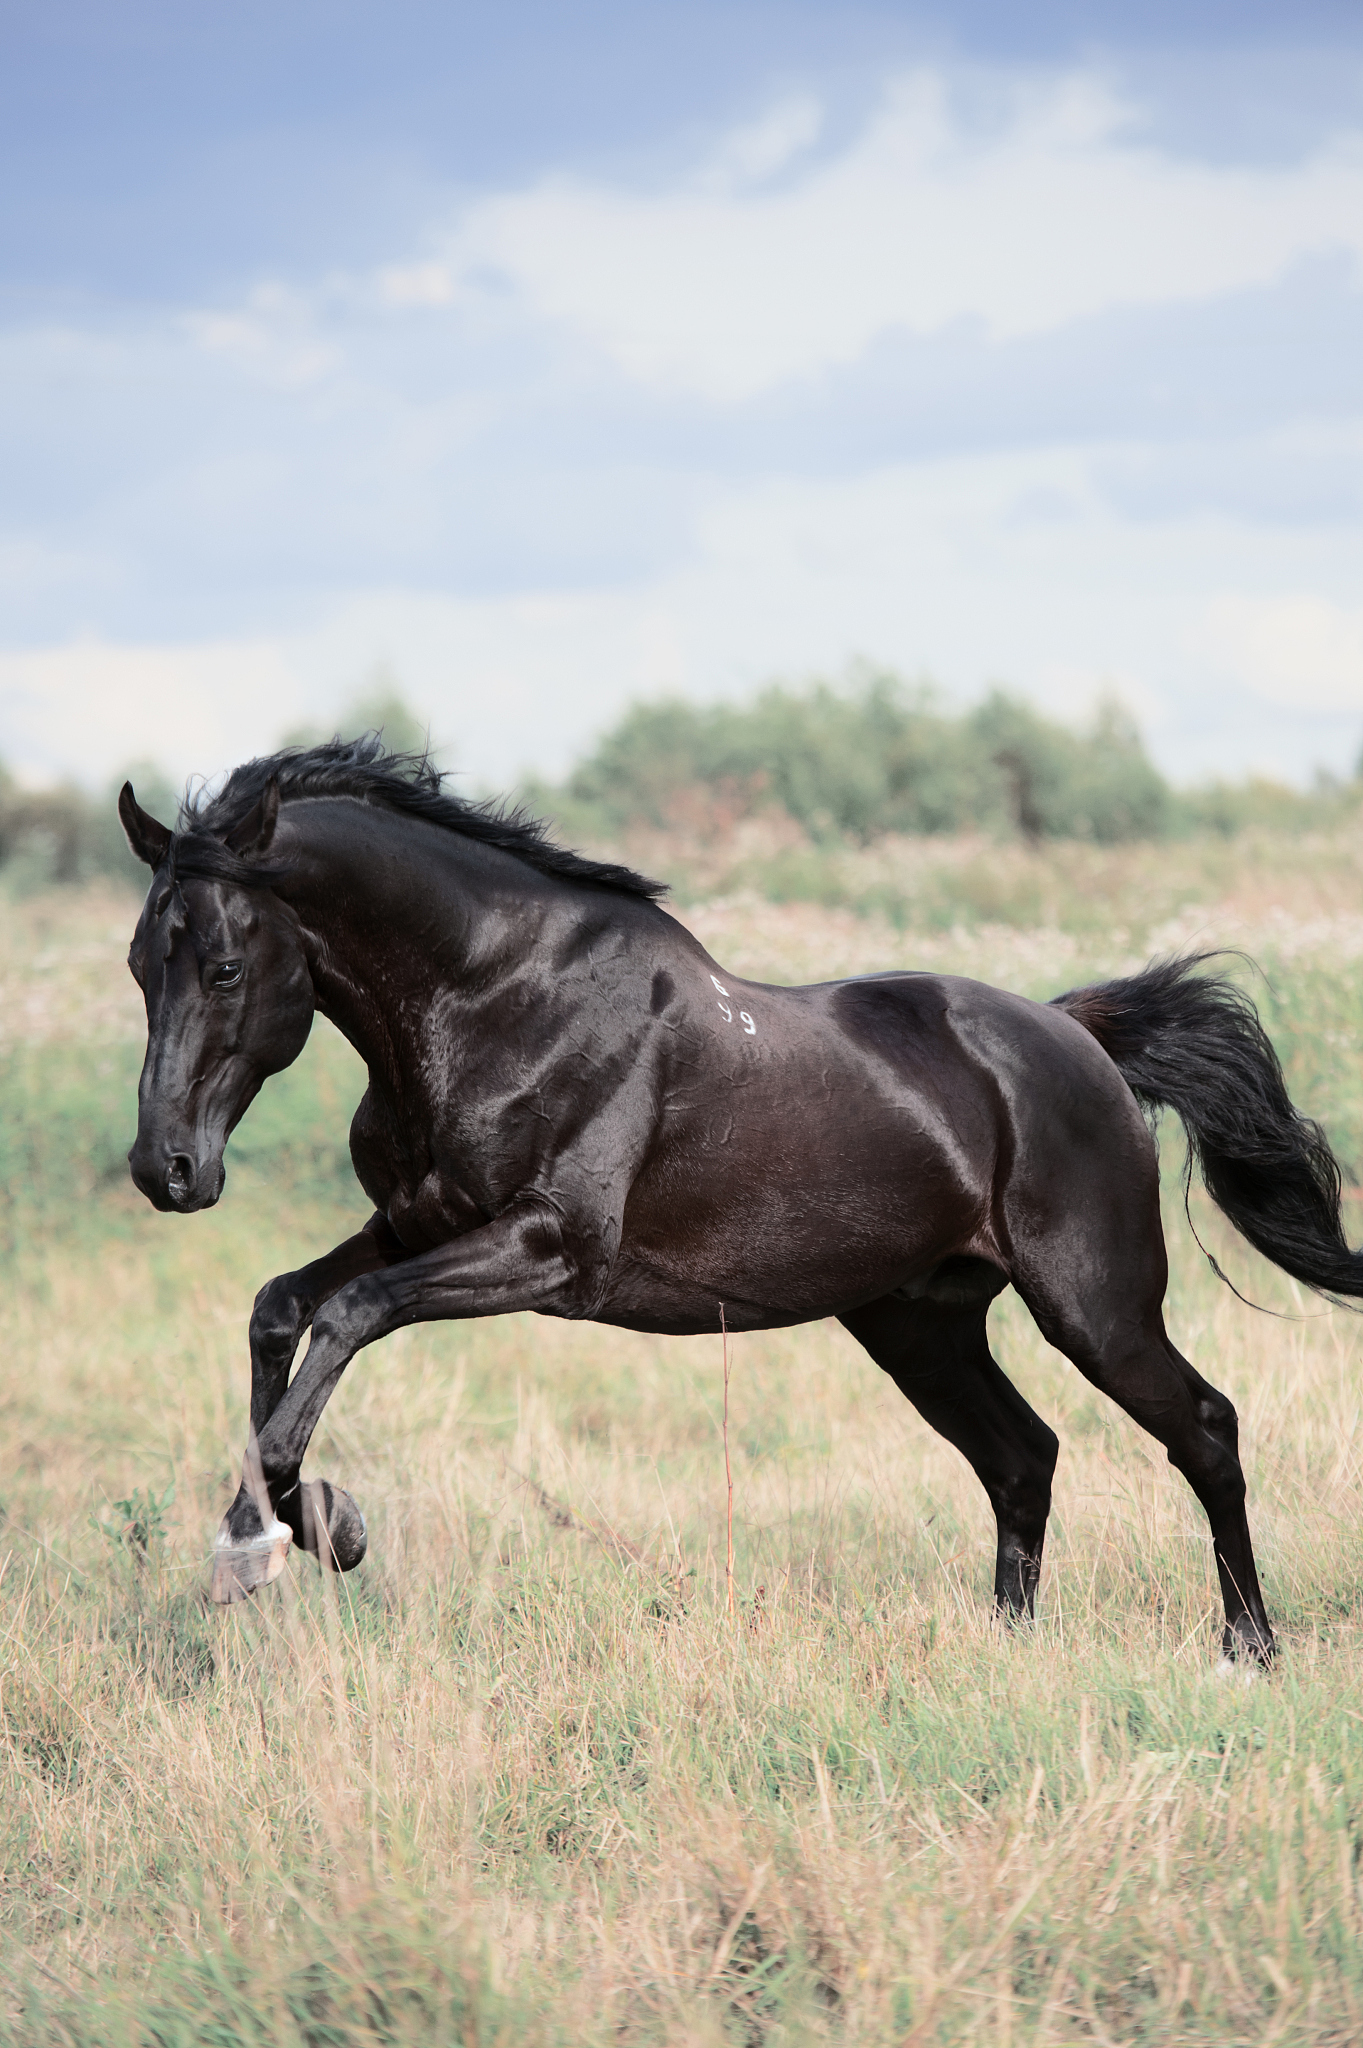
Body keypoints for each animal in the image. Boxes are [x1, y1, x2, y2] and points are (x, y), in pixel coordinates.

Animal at [119, 738, 1363, 1665]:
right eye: (140, 962)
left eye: (224, 965)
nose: (166, 1168)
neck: (495, 998)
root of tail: (1076, 1037)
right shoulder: (416, 1223)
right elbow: (283, 1307)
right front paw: (282, 1525)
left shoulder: (549, 1250)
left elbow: (350, 1313)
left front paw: (291, 1534)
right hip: (919, 1320)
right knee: (1022, 1455)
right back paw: (1007, 1645)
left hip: (1093, 1303)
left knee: (1203, 1427)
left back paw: (1247, 1649)